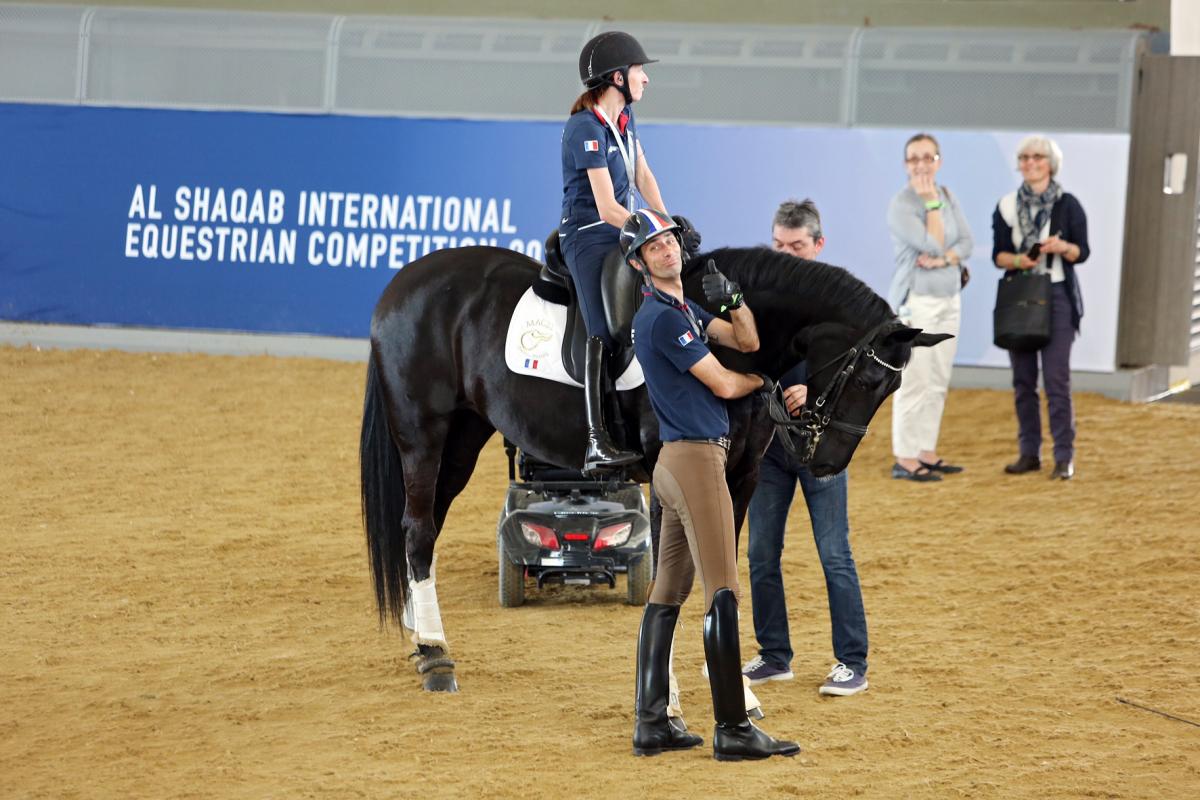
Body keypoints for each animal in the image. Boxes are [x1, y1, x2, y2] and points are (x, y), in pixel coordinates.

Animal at [355, 244, 945, 690]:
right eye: (868, 380)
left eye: (889, 389)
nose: (828, 462)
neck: (728, 351)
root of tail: (402, 283)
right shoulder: (672, 476)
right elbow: (673, 575)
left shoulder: (742, 478)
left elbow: (722, 568)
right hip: (423, 434)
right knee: (417, 529)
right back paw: (436, 657)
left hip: (463, 436)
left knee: (424, 531)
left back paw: (420, 637)